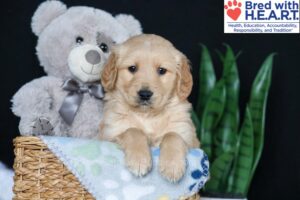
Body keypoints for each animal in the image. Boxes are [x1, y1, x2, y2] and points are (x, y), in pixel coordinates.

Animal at [99, 34, 200, 183]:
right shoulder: (109, 135)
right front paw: (139, 160)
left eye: (161, 70)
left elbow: (173, 135)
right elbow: (133, 130)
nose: (145, 94)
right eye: (132, 68)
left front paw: (172, 166)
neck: (148, 116)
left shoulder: (189, 137)